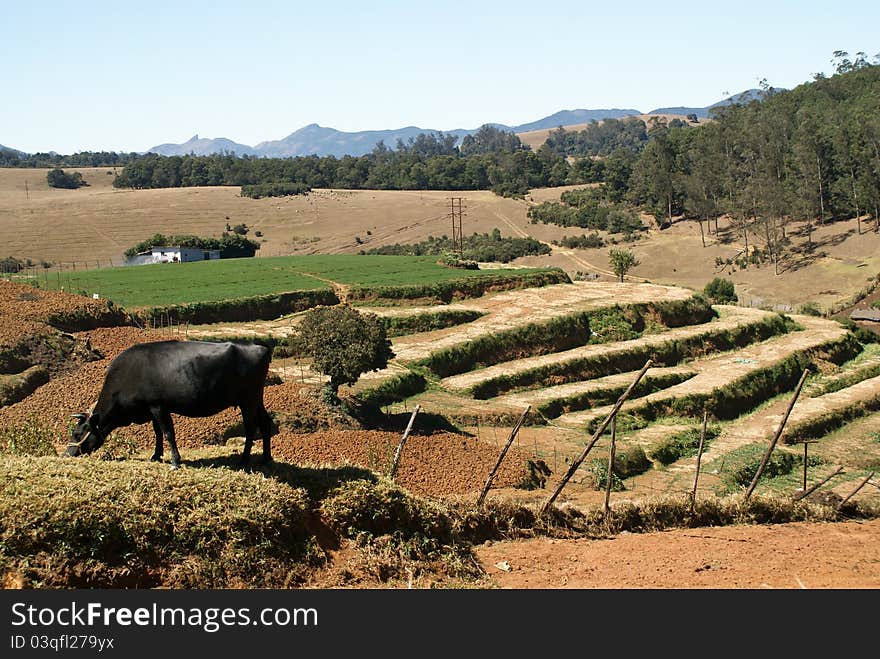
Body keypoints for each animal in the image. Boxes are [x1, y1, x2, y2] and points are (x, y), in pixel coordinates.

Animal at [67, 342, 276, 466]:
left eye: (77, 434)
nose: (67, 453)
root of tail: (260, 347)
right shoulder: (151, 408)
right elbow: (158, 433)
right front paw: (156, 455)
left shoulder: (159, 406)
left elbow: (168, 433)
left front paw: (175, 461)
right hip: (256, 398)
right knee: (265, 423)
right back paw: (266, 459)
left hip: (247, 400)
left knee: (251, 428)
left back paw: (244, 460)